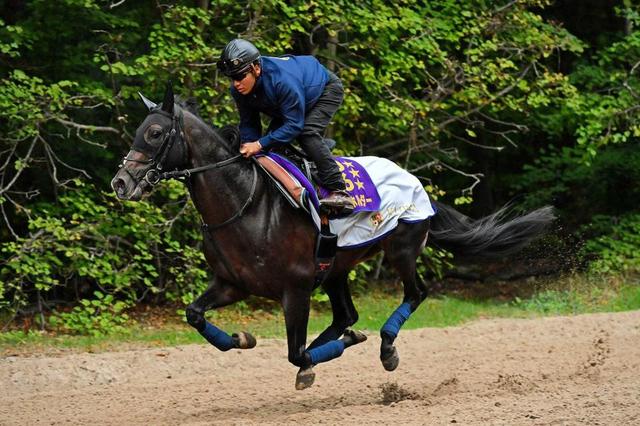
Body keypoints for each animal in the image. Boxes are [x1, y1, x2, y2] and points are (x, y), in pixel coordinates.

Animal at [111, 83, 554, 390]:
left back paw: (385, 347)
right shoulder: (232, 283)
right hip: (337, 267)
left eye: (154, 133)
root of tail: (416, 182)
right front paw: (242, 337)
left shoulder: (295, 289)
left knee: (415, 293)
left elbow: (294, 353)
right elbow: (195, 314)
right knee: (347, 316)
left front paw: (311, 362)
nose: (120, 183)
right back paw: (350, 338)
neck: (246, 203)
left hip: (401, 249)